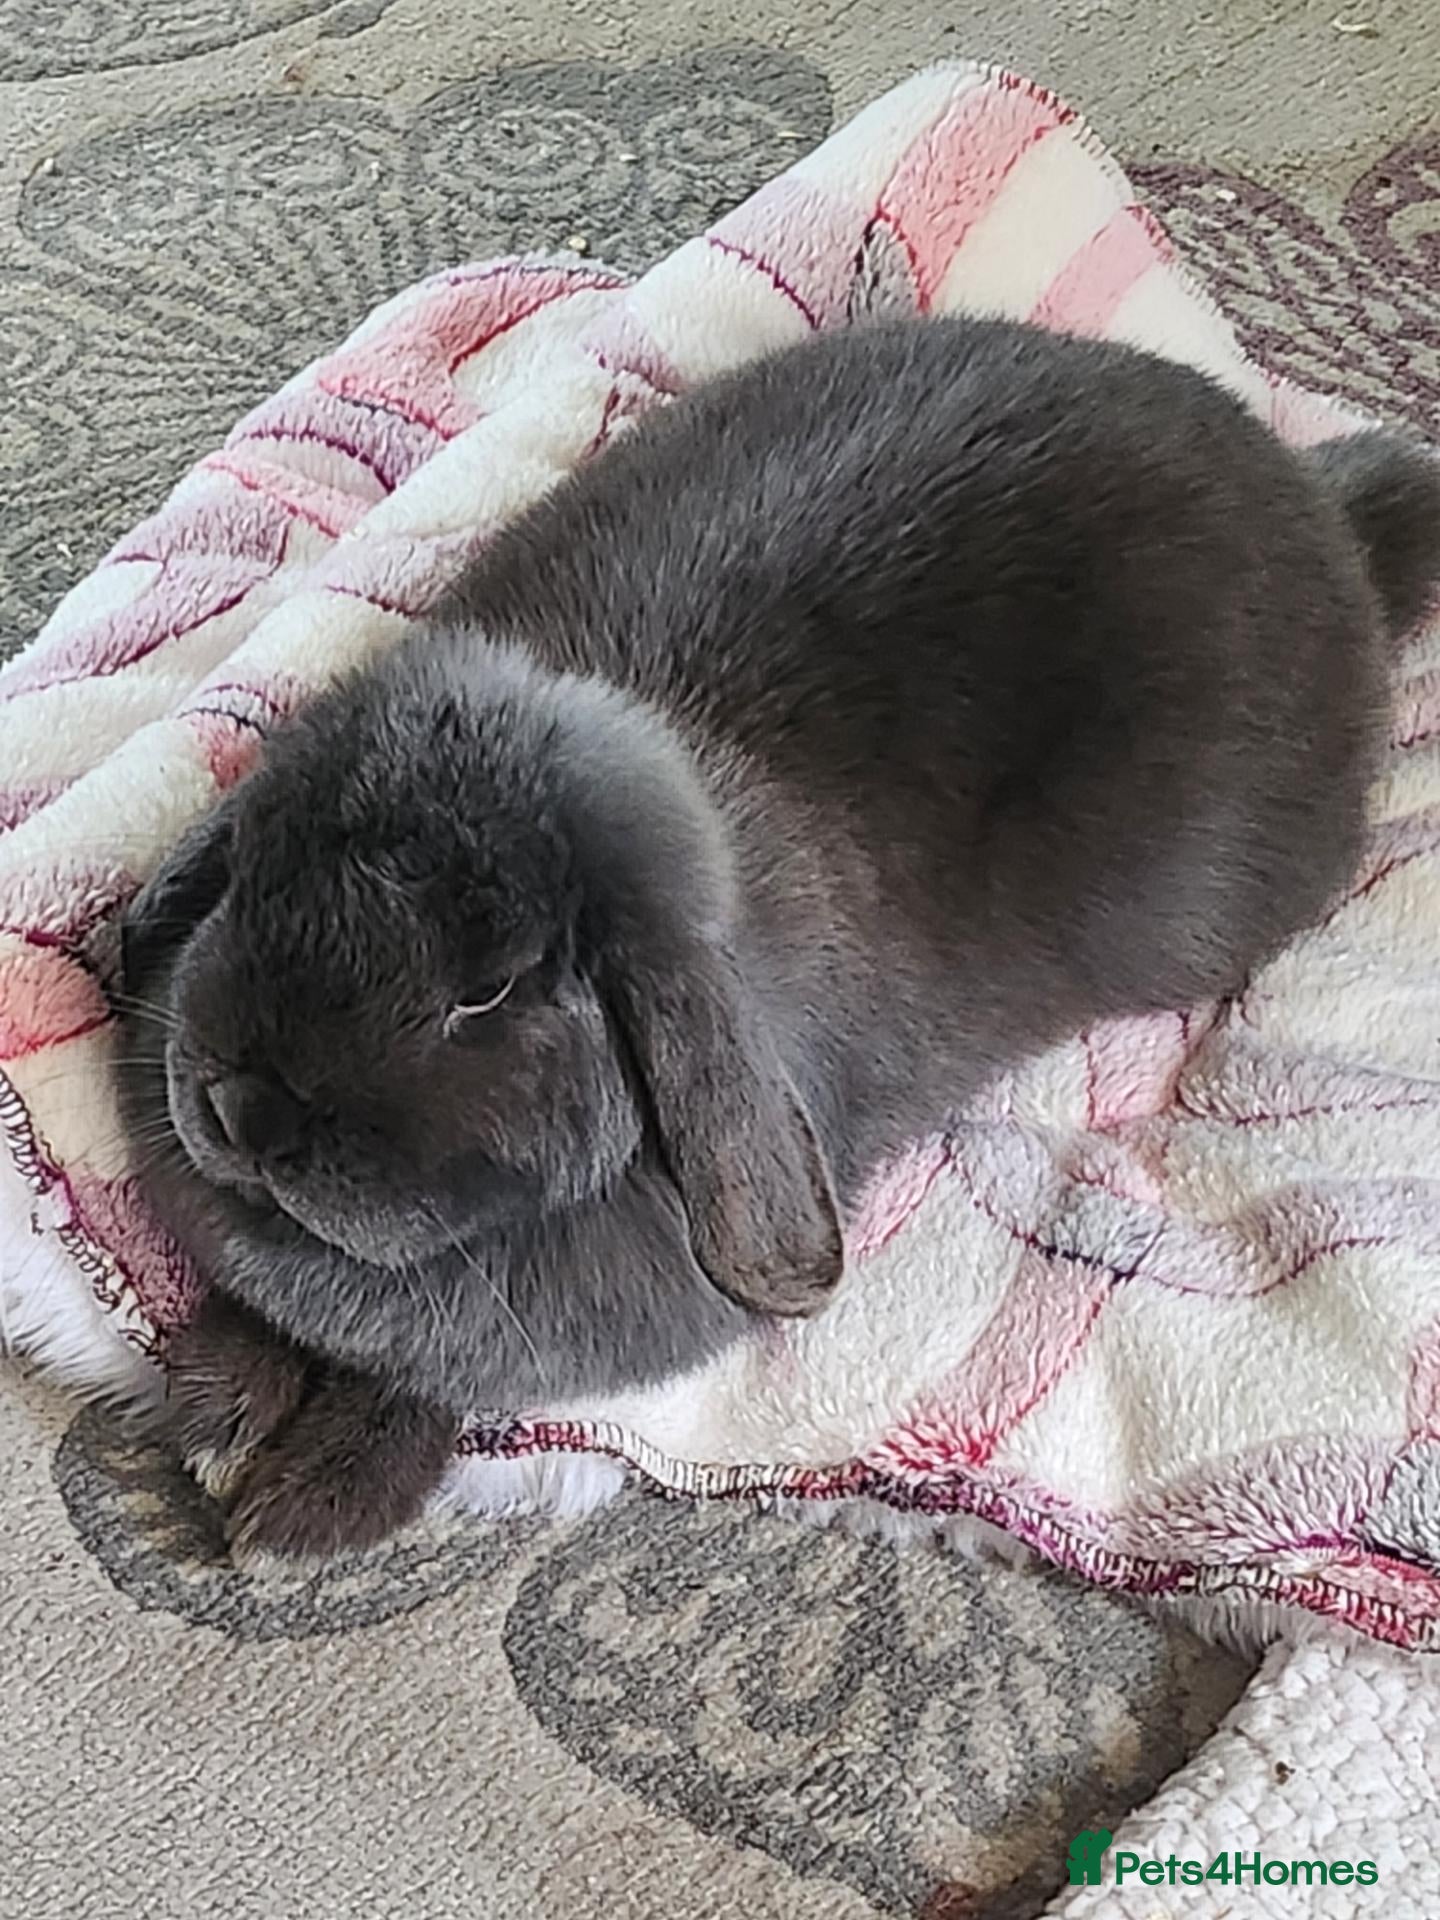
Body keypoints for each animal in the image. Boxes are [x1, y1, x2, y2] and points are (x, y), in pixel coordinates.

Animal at [116, 315, 1440, 1563]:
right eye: (256, 865)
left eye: (486, 991)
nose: (242, 1111)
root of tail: (1314, 501)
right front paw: (214, 1407)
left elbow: (425, 1382)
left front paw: (308, 1502)